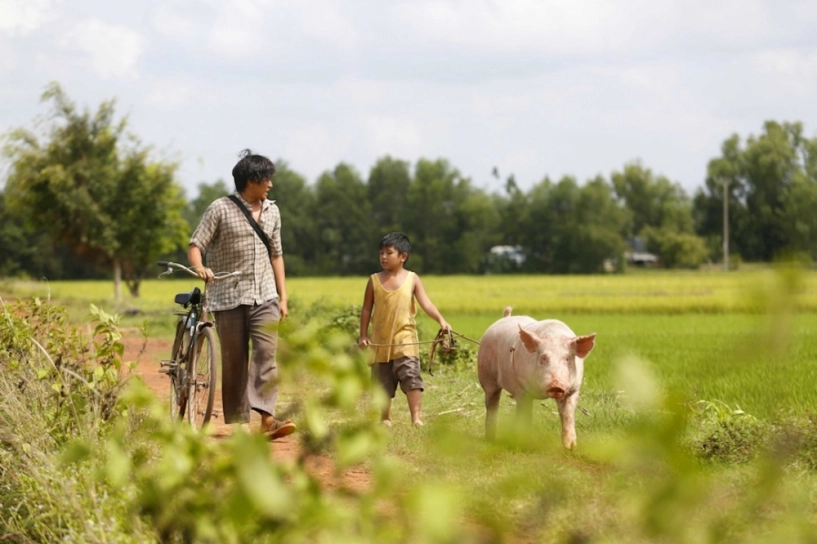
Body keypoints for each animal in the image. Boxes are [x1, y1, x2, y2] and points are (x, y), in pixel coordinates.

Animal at [474, 308, 596, 448]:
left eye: (567, 358)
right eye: (544, 358)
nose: (556, 385)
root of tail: (505, 318)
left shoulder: (573, 389)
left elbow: (567, 415)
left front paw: (570, 447)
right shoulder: (522, 391)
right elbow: (525, 416)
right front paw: (524, 443)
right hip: (487, 377)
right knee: (492, 405)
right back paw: (491, 439)